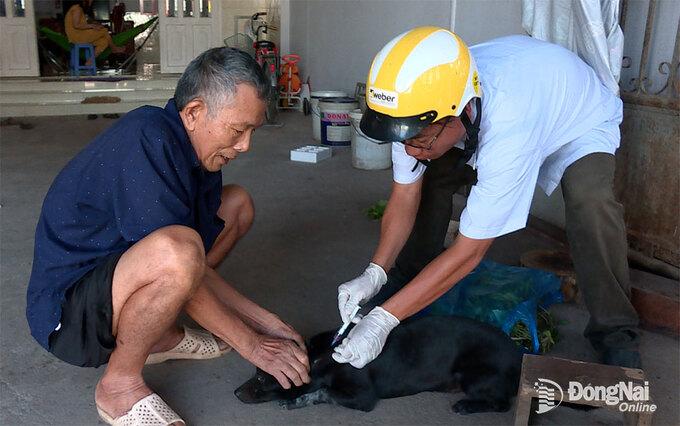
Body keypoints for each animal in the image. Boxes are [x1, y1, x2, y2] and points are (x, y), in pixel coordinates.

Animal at [236, 316, 524, 412]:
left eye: (262, 378)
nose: (236, 392)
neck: (322, 354)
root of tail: (519, 354)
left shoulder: (363, 396)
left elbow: (323, 392)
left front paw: (296, 400)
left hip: (474, 377)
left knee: (502, 404)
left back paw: (466, 406)